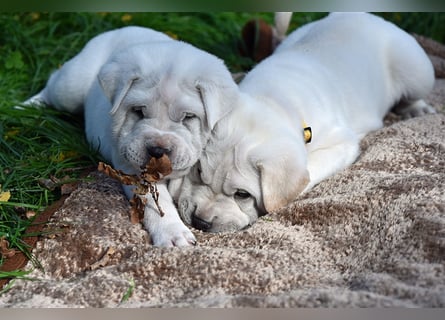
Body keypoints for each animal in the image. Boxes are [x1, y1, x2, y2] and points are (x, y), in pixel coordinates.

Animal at [25, 26, 238, 246]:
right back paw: (24, 108)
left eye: (188, 116)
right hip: (71, 87)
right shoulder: (135, 169)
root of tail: (119, 29)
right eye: (138, 111)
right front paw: (172, 234)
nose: (157, 149)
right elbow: (157, 201)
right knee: (53, 84)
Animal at [173, 12, 434, 232]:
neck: (272, 101)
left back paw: (417, 108)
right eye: (198, 173)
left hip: (417, 71)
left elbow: (308, 172)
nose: (199, 222)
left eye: (242, 195)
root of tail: (358, 13)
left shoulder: (342, 144)